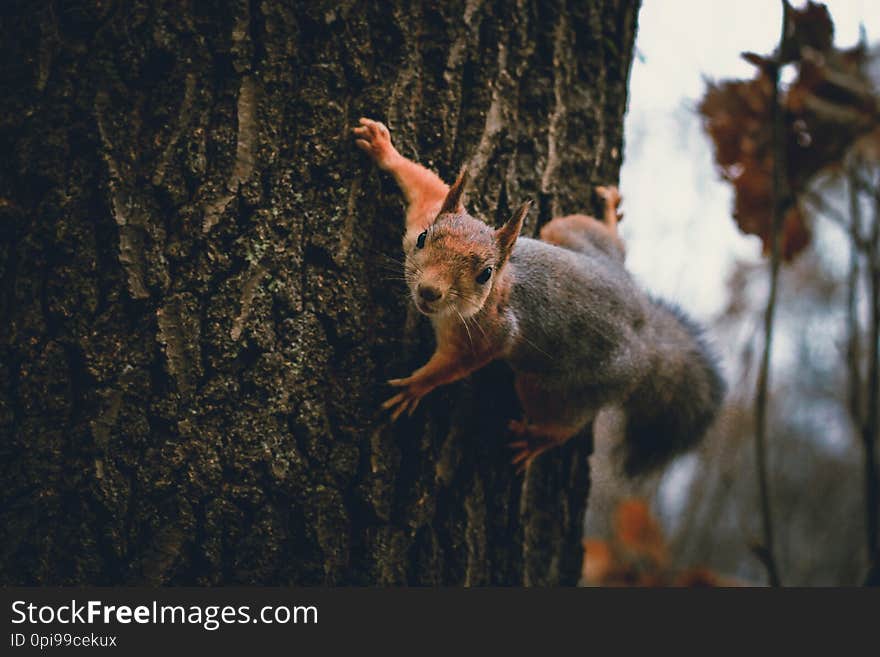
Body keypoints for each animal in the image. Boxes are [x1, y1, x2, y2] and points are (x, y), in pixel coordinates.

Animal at [354, 116, 724, 472]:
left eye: (485, 274)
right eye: (423, 239)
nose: (429, 291)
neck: (498, 288)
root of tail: (646, 336)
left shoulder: (488, 336)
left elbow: (453, 366)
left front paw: (415, 387)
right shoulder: (427, 212)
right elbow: (426, 184)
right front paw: (383, 147)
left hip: (555, 388)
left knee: (562, 424)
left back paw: (536, 440)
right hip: (570, 232)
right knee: (605, 240)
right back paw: (610, 216)